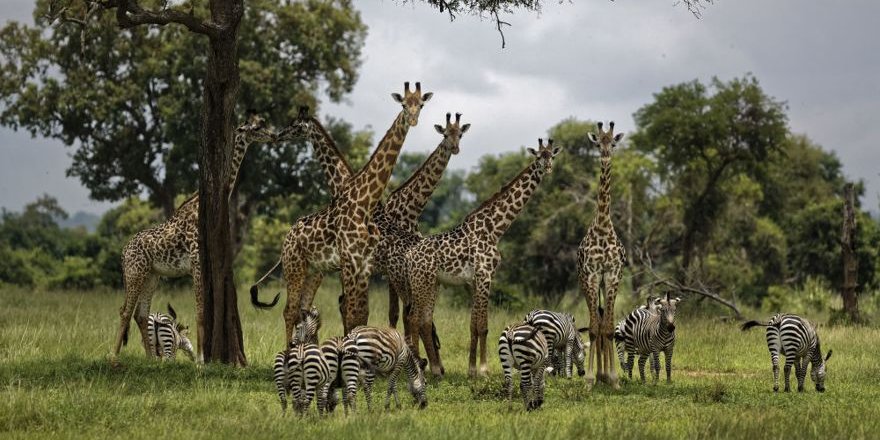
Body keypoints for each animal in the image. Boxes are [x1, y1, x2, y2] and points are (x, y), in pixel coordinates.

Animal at [110, 113, 276, 364]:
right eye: (256, 127)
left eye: (263, 122)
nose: (274, 135)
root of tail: (123, 252)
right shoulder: (196, 264)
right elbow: (199, 311)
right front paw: (201, 360)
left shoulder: (199, 266)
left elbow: (202, 311)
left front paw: (201, 358)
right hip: (134, 272)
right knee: (125, 311)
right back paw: (113, 355)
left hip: (152, 276)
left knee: (141, 313)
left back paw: (150, 358)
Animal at [251, 81, 434, 338]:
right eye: (404, 104)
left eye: (421, 104)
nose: (278, 135)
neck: (358, 196)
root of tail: (287, 237)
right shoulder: (348, 264)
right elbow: (351, 312)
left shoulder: (359, 264)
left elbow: (357, 313)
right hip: (300, 266)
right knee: (292, 310)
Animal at [372, 111, 468, 328]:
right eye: (445, 135)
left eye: (460, 135)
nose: (456, 149)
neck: (412, 209)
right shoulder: (393, 270)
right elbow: (395, 313)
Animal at [404, 139, 556, 376]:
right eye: (539, 156)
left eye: (552, 156)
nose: (548, 167)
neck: (495, 228)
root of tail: (409, 255)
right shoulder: (485, 275)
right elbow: (483, 326)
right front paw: (484, 370)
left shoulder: (474, 280)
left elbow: (474, 325)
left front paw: (472, 370)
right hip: (422, 282)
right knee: (415, 319)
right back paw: (424, 366)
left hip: (432, 283)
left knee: (423, 321)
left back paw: (434, 369)